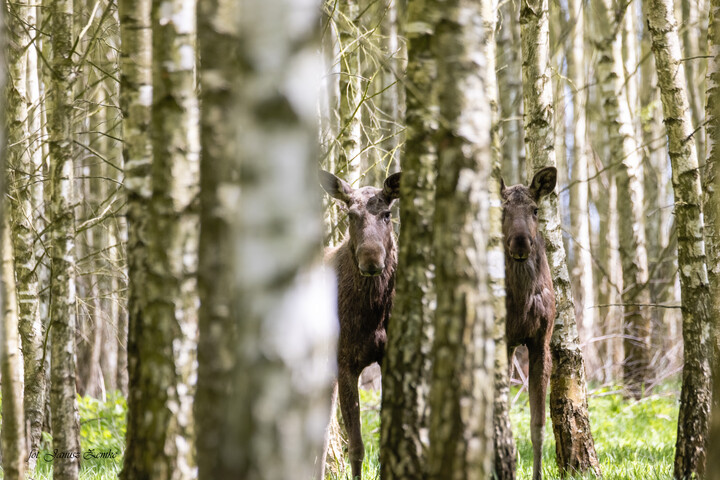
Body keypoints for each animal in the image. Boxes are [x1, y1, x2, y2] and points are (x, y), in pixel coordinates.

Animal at [320, 170, 400, 480]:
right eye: (351, 215)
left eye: (387, 214)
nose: (371, 259)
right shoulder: (344, 363)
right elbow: (356, 447)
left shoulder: (389, 358)